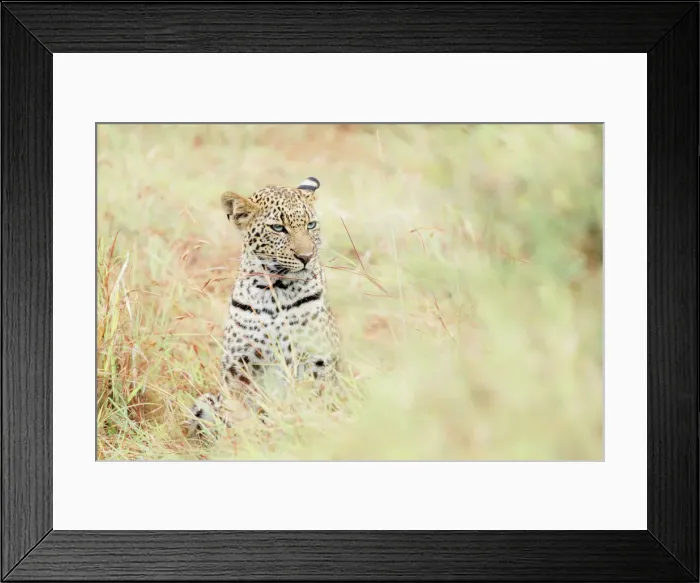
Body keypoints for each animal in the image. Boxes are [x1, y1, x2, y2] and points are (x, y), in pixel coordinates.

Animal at [186, 177, 341, 438]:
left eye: (311, 225)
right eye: (278, 228)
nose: (307, 257)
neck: (275, 289)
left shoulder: (317, 359)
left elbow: (314, 400)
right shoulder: (238, 365)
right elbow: (239, 409)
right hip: (205, 400)